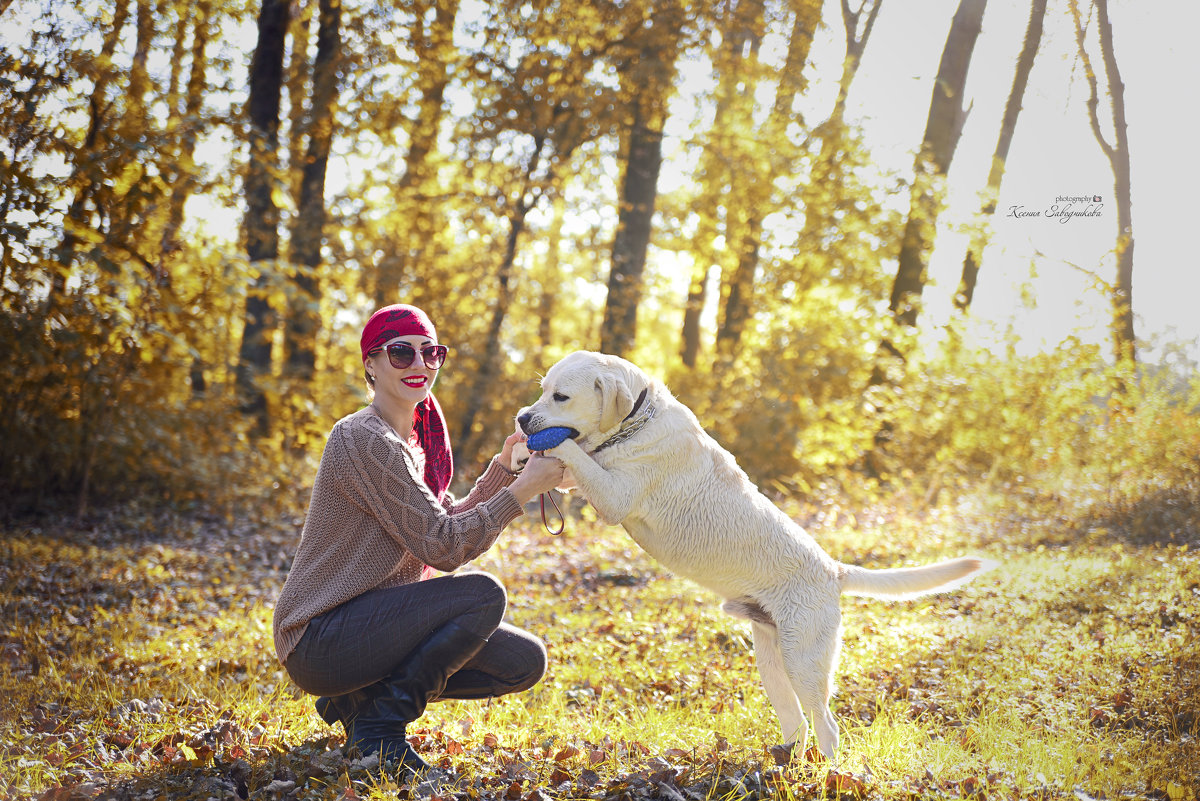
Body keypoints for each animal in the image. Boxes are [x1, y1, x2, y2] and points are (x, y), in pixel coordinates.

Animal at [513, 350, 984, 757]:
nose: (521, 416)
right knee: (797, 722)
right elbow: (572, 463)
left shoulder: (614, 496)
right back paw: (785, 764)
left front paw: (542, 445)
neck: (637, 423)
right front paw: (517, 450)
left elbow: (572, 452)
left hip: (803, 661)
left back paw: (828, 774)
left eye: (561, 397)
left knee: (826, 723)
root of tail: (833, 571)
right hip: (771, 660)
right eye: (542, 389)